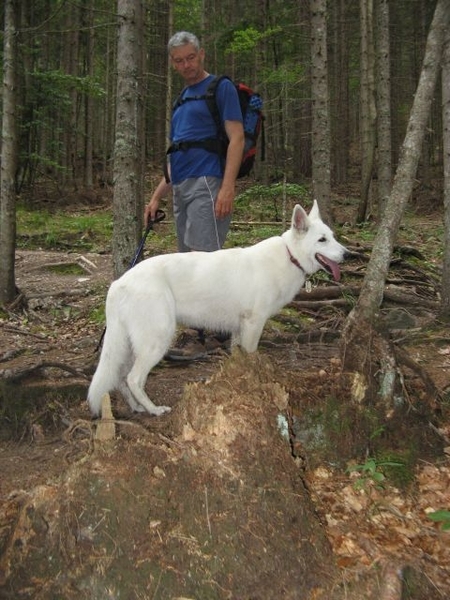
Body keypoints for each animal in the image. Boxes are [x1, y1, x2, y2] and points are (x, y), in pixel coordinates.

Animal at [88, 202, 348, 418]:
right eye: (322, 240)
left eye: (333, 237)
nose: (348, 254)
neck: (290, 256)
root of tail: (118, 283)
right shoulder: (254, 324)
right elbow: (251, 356)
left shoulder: (240, 328)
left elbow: (238, 356)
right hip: (157, 340)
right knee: (133, 379)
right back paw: (153, 409)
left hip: (133, 344)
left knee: (121, 378)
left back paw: (137, 407)